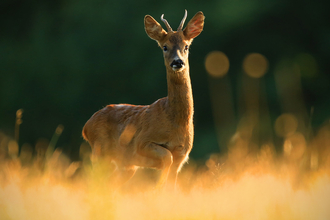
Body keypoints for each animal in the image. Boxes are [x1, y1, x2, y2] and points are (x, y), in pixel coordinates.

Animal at [82, 9, 204, 189]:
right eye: (165, 47)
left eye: (186, 46)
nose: (178, 62)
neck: (175, 120)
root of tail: (86, 127)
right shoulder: (142, 141)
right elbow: (166, 159)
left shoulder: (182, 154)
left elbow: (171, 185)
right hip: (100, 152)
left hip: (126, 165)